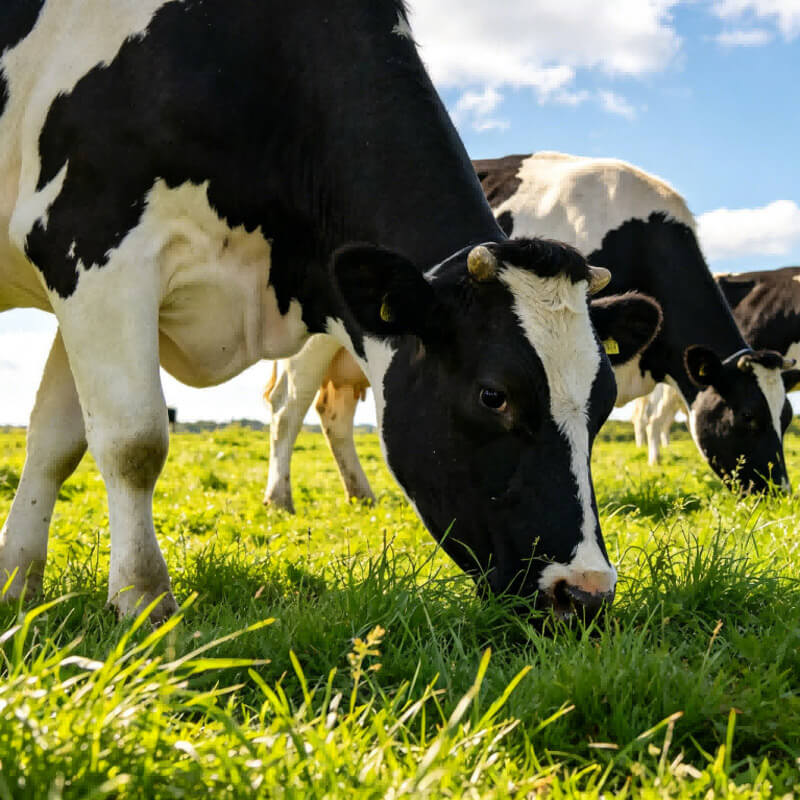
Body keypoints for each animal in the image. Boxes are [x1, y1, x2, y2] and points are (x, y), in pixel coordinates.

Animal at [0, 3, 659, 623]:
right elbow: (133, 441)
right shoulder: (90, 242)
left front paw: (16, 585)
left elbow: (55, 441)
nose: (586, 593)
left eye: (603, 401)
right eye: (492, 395)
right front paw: (144, 600)